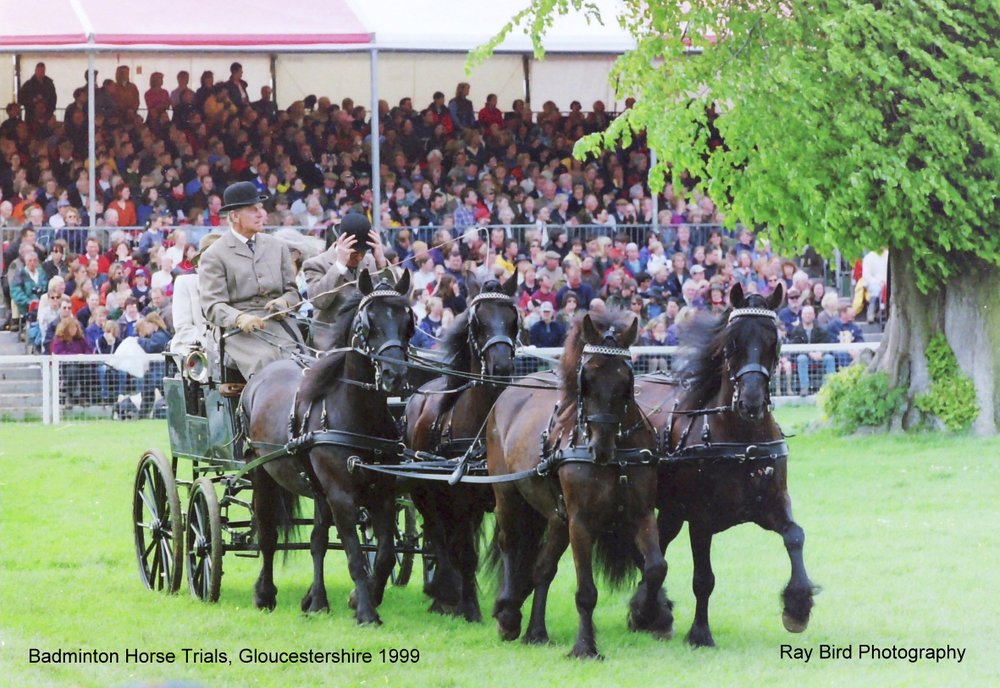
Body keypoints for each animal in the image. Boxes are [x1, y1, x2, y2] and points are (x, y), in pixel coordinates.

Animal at [242, 270, 414, 624]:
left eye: (408, 321)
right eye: (368, 322)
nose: (394, 374)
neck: (358, 414)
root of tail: (262, 374)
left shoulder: (383, 494)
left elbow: (385, 554)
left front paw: (363, 596)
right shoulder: (342, 496)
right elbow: (354, 555)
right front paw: (366, 612)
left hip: (317, 488)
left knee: (317, 540)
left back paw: (316, 600)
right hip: (263, 475)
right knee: (268, 535)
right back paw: (265, 593)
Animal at [404, 276, 520, 620]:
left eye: (513, 320)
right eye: (477, 322)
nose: (500, 367)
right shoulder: (460, 500)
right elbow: (464, 552)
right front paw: (468, 608)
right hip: (424, 492)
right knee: (438, 535)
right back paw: (443, 594)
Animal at [636, 282, 816, 648]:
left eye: (774, 341)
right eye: (733, 342)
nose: (751, 401)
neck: (739, 441)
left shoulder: (773, 503)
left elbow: (795, 536)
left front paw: (798, 606)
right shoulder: (700, 518)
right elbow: (703, 578)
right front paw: (700, 633)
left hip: (673, 509)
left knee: (659, 545)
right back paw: (651, 610)